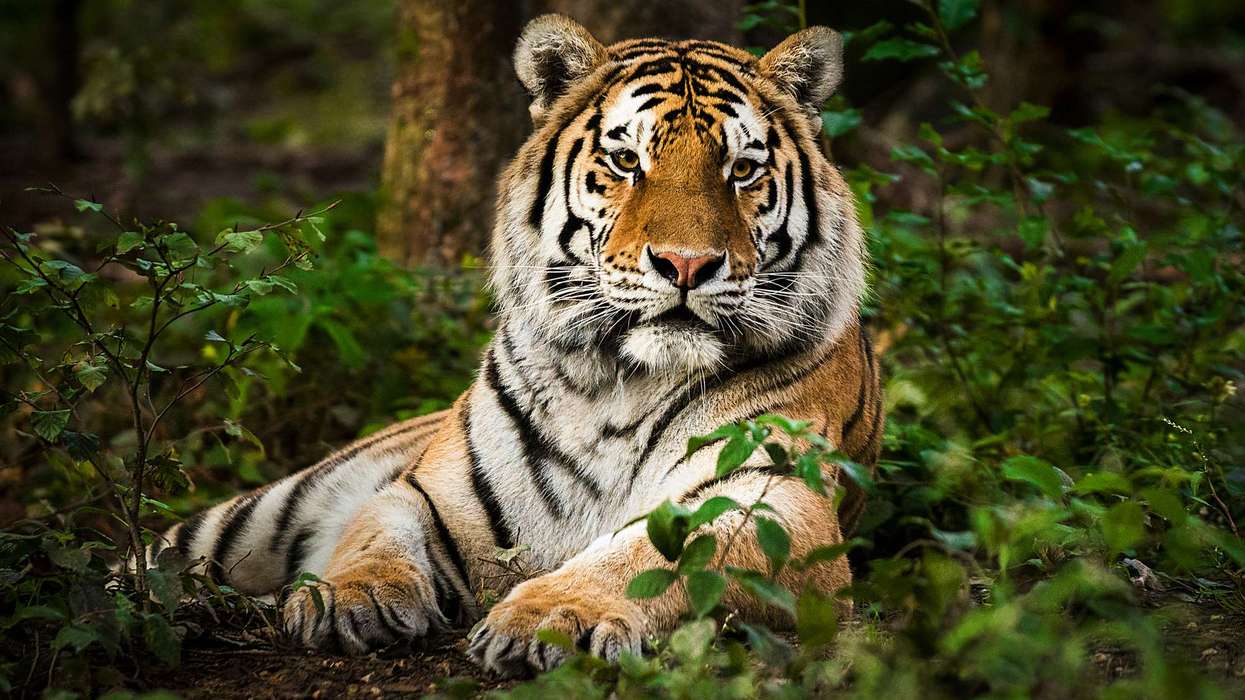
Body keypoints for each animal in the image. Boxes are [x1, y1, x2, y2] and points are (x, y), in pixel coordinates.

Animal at [150, 15, 882, 676]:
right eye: (626, 161)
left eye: (742, 169)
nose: (686, 263)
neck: (619, 383)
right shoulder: (429, 492)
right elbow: (374, 532)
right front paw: (344, 596)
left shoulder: (771, 498)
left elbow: (652, 556)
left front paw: (552, 618)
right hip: (259, 515)